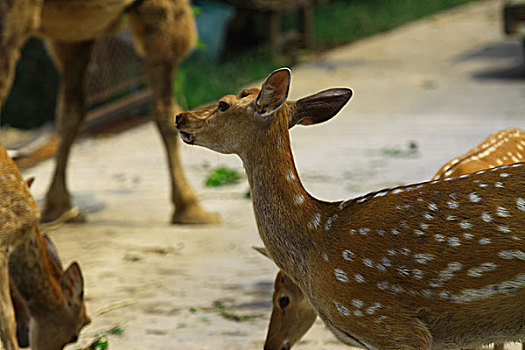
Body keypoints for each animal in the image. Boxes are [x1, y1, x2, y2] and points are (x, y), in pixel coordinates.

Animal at [0, 0, 217, 224]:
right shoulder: (161, 8)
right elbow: (165, 113)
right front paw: (190, 208)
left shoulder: (74, 32)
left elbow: (71, 114)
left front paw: (58, 207)